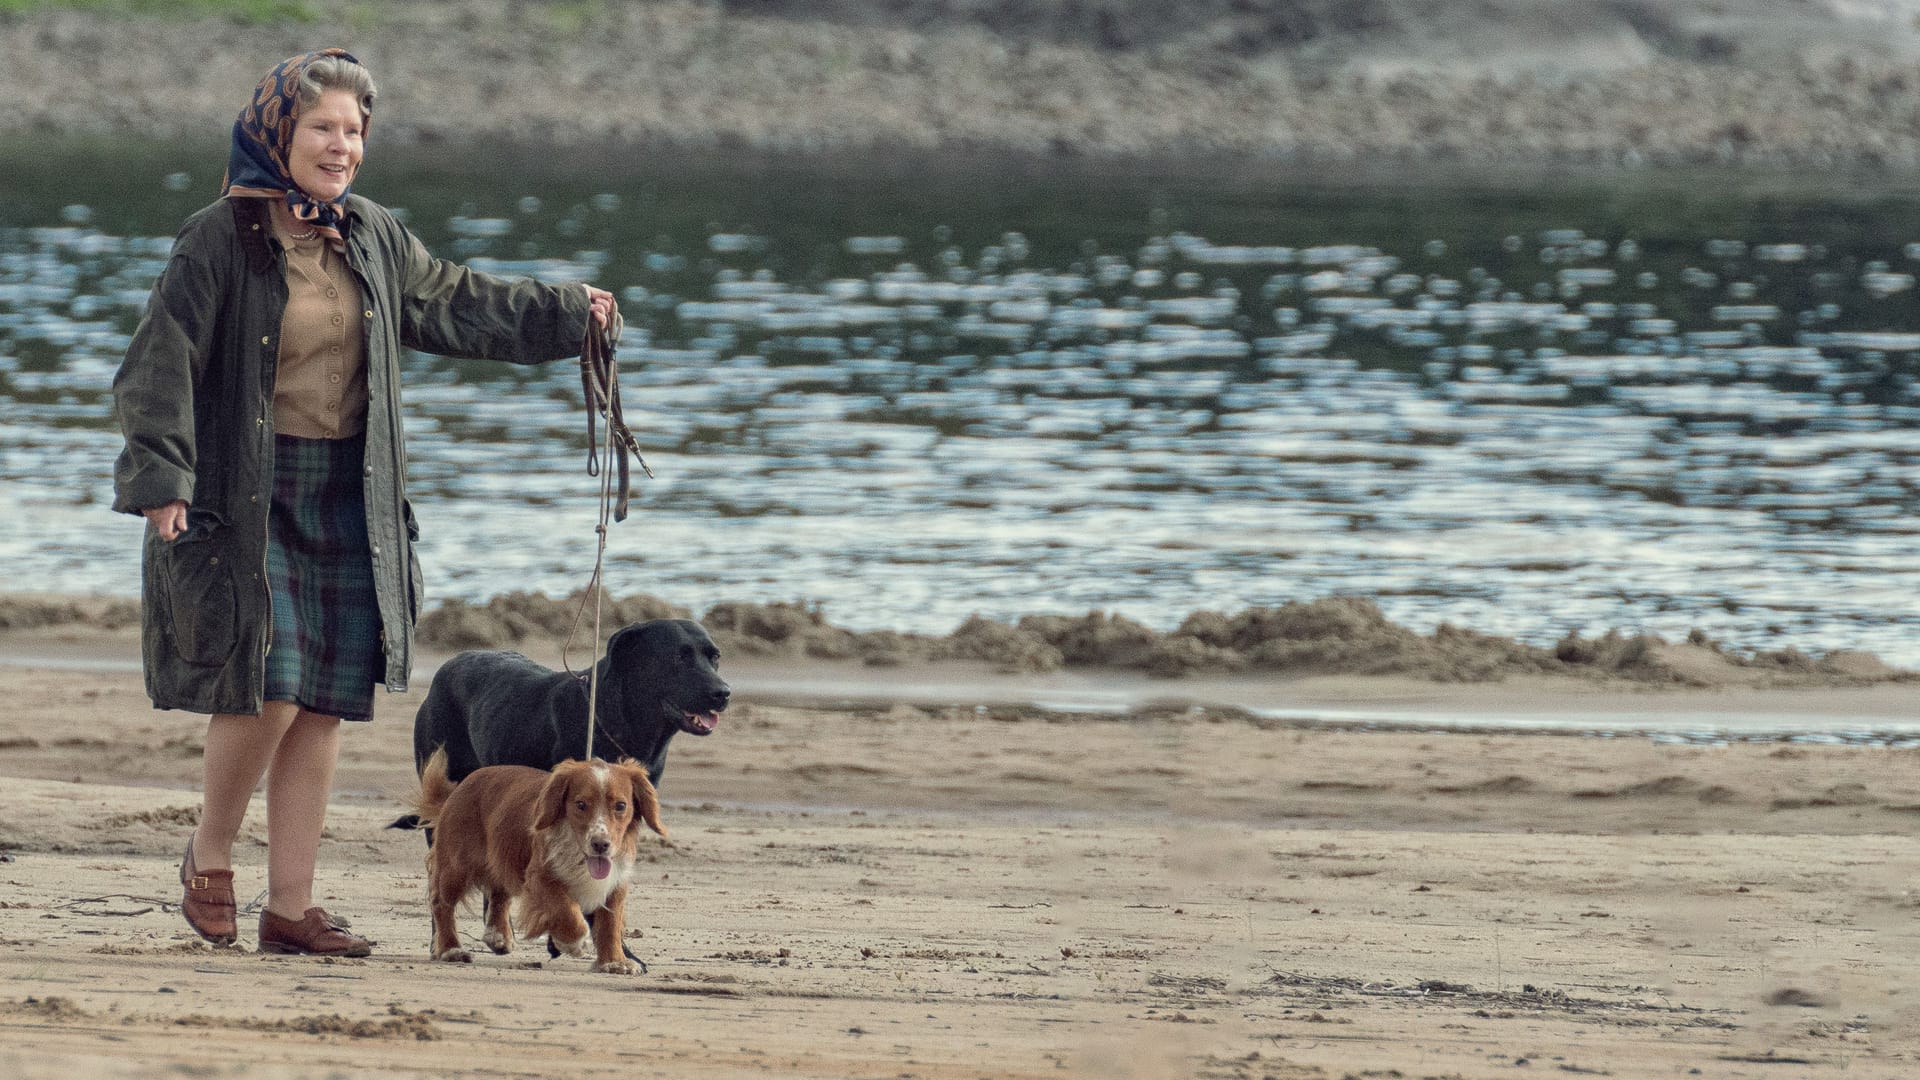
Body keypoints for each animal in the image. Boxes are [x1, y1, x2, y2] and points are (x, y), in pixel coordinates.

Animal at [412, 749, 668, 968]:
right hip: (456, 866)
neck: (579, 854)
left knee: (499, 892)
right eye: (580, 804)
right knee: (441, 903)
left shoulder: (614, 881)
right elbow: (566, 910)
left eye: (621, 806)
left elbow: (610, 923)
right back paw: (450, 949)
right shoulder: (540, 877)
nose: (600, 845)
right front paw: (573, 942)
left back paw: (497, 936)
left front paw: (614, 962)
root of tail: (459, 787)